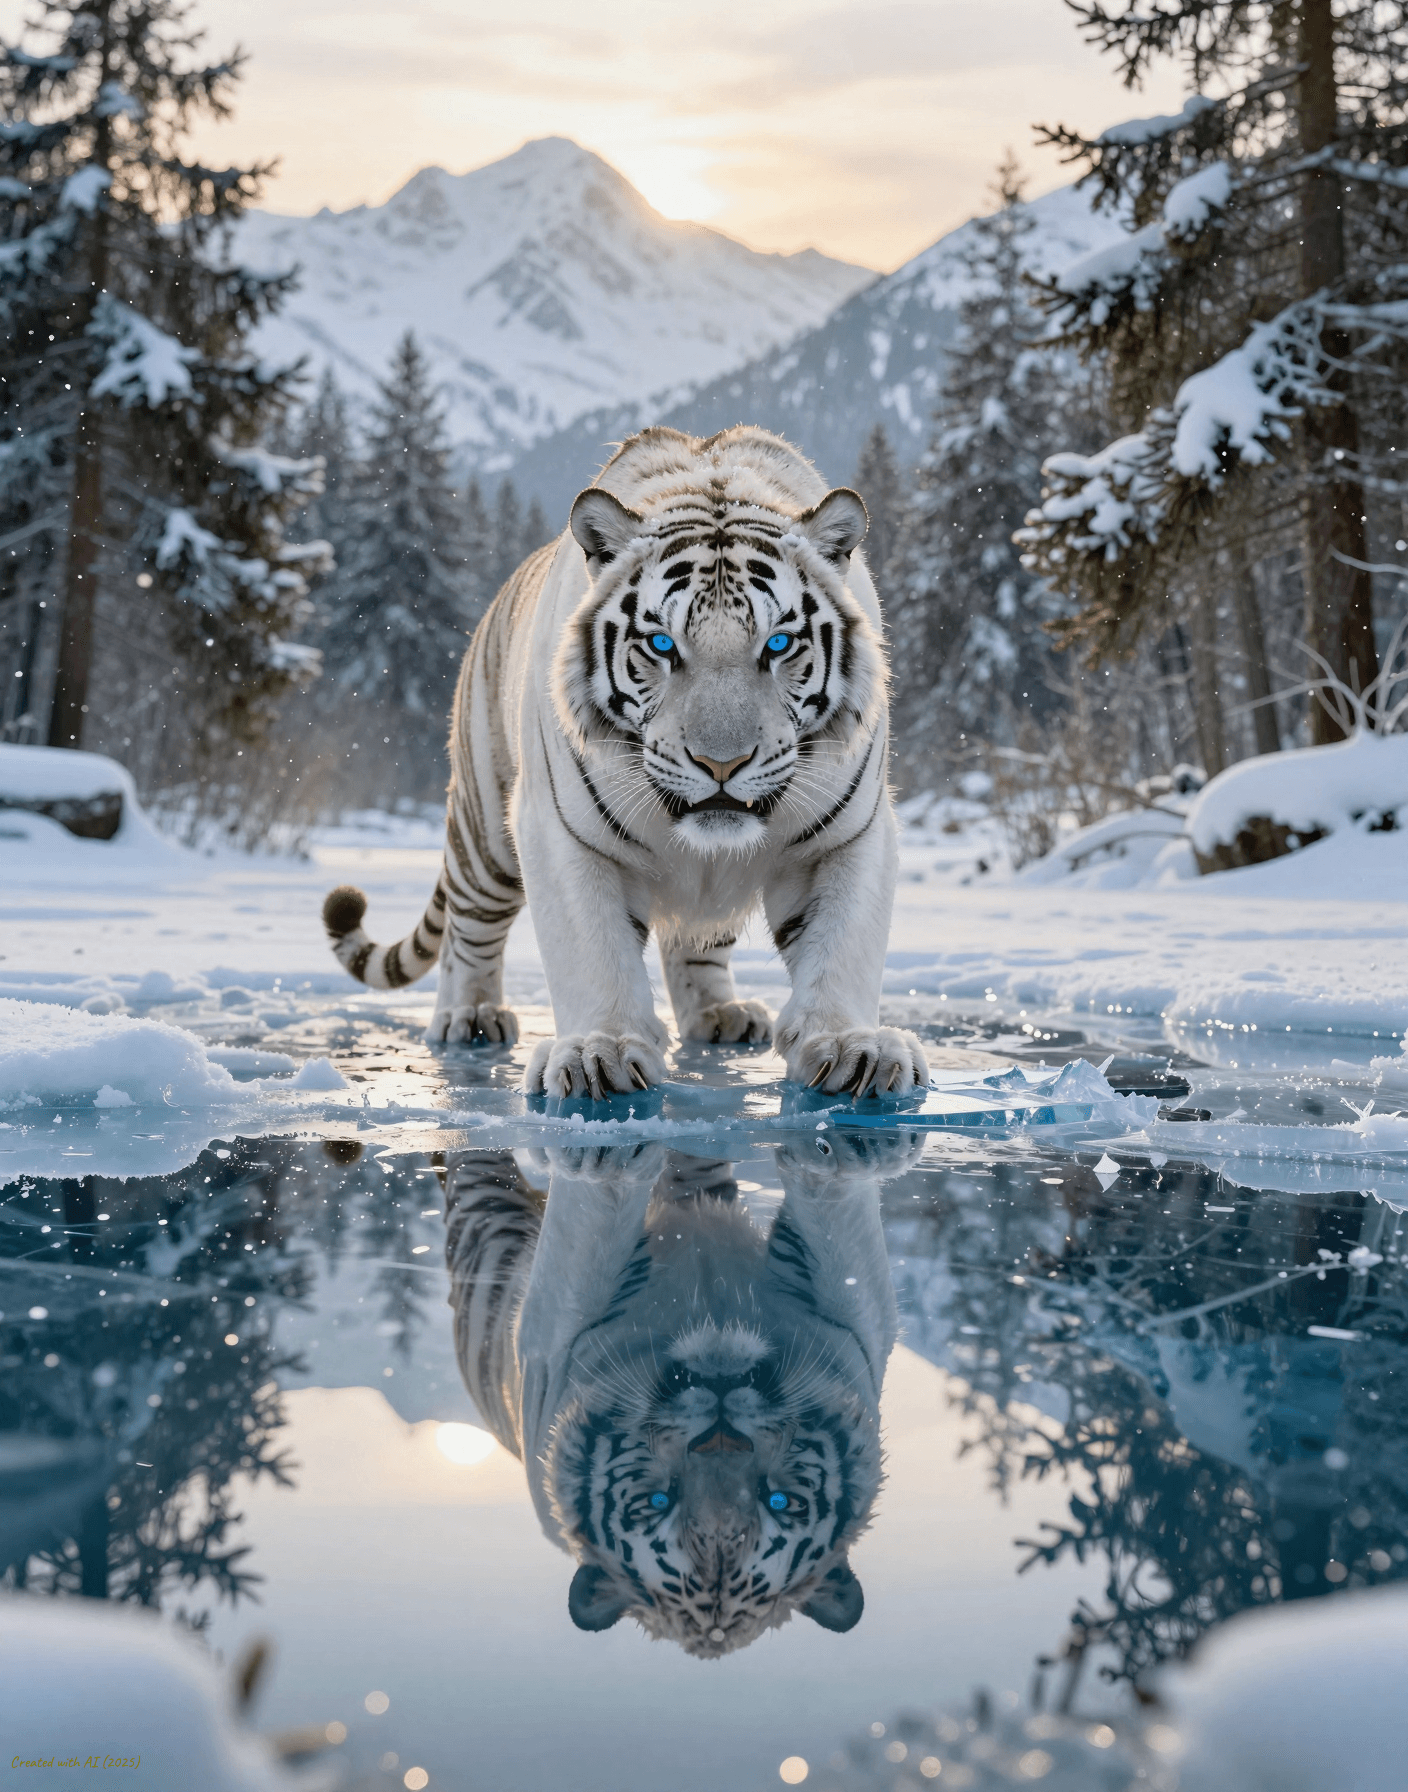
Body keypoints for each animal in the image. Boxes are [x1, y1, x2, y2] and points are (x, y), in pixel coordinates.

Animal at [322, 425, 929, 1100]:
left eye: (777, 644)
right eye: (661, 644)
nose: (721, 763)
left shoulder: (850, 832)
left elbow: (843, 945)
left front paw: (851, 1047)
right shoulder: (562, 831)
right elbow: (592, 951)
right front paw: (600, 1052)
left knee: (696, 941)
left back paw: (720, 1014)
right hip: (486, 837)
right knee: (468, 930)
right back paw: (469, 1016)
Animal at [442, 1129, 918, 1656]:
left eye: (780, 1502)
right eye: (654, 1503)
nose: (721, 1409)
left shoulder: (860, 1329)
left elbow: (836, 1215)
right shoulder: (552, 1338)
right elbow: (595, 1222)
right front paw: (601, 1148)